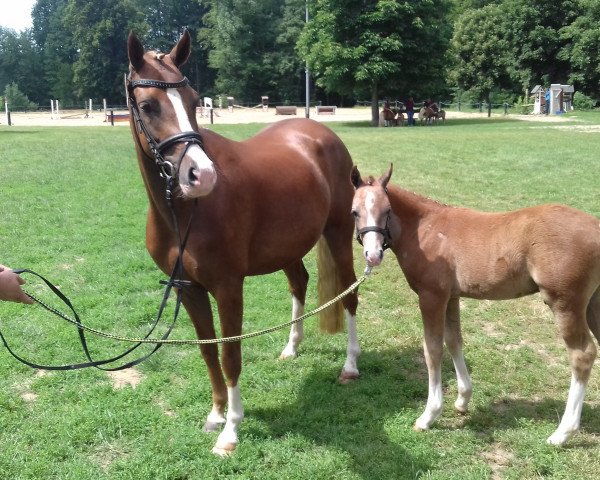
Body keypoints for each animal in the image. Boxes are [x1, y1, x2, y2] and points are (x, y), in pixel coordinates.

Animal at [127, 31, 358, 456]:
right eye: (148, 105)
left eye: (193, 101)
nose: (200, 175)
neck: (185, 212)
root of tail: (323, 134)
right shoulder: (188, 288)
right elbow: (207, 349)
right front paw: (216, 413)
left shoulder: (228, 287)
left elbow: (231, 353)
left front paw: (231, 430)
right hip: (288, 246)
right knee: (299, 283)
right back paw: (292, 346)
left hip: (337, 235)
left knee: (350, 294)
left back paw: (350, 366)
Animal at [350, 165, 600, 446]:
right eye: (355, 212)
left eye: (387, 210)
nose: (373, 255)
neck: (426, 229)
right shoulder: (451, 297)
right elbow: (454, 341)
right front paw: (463, 399)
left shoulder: (431, 296)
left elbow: (432, 350)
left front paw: (429, 415)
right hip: (593, 303)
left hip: (565, 303)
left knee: (582, 355)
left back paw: (562, 433)